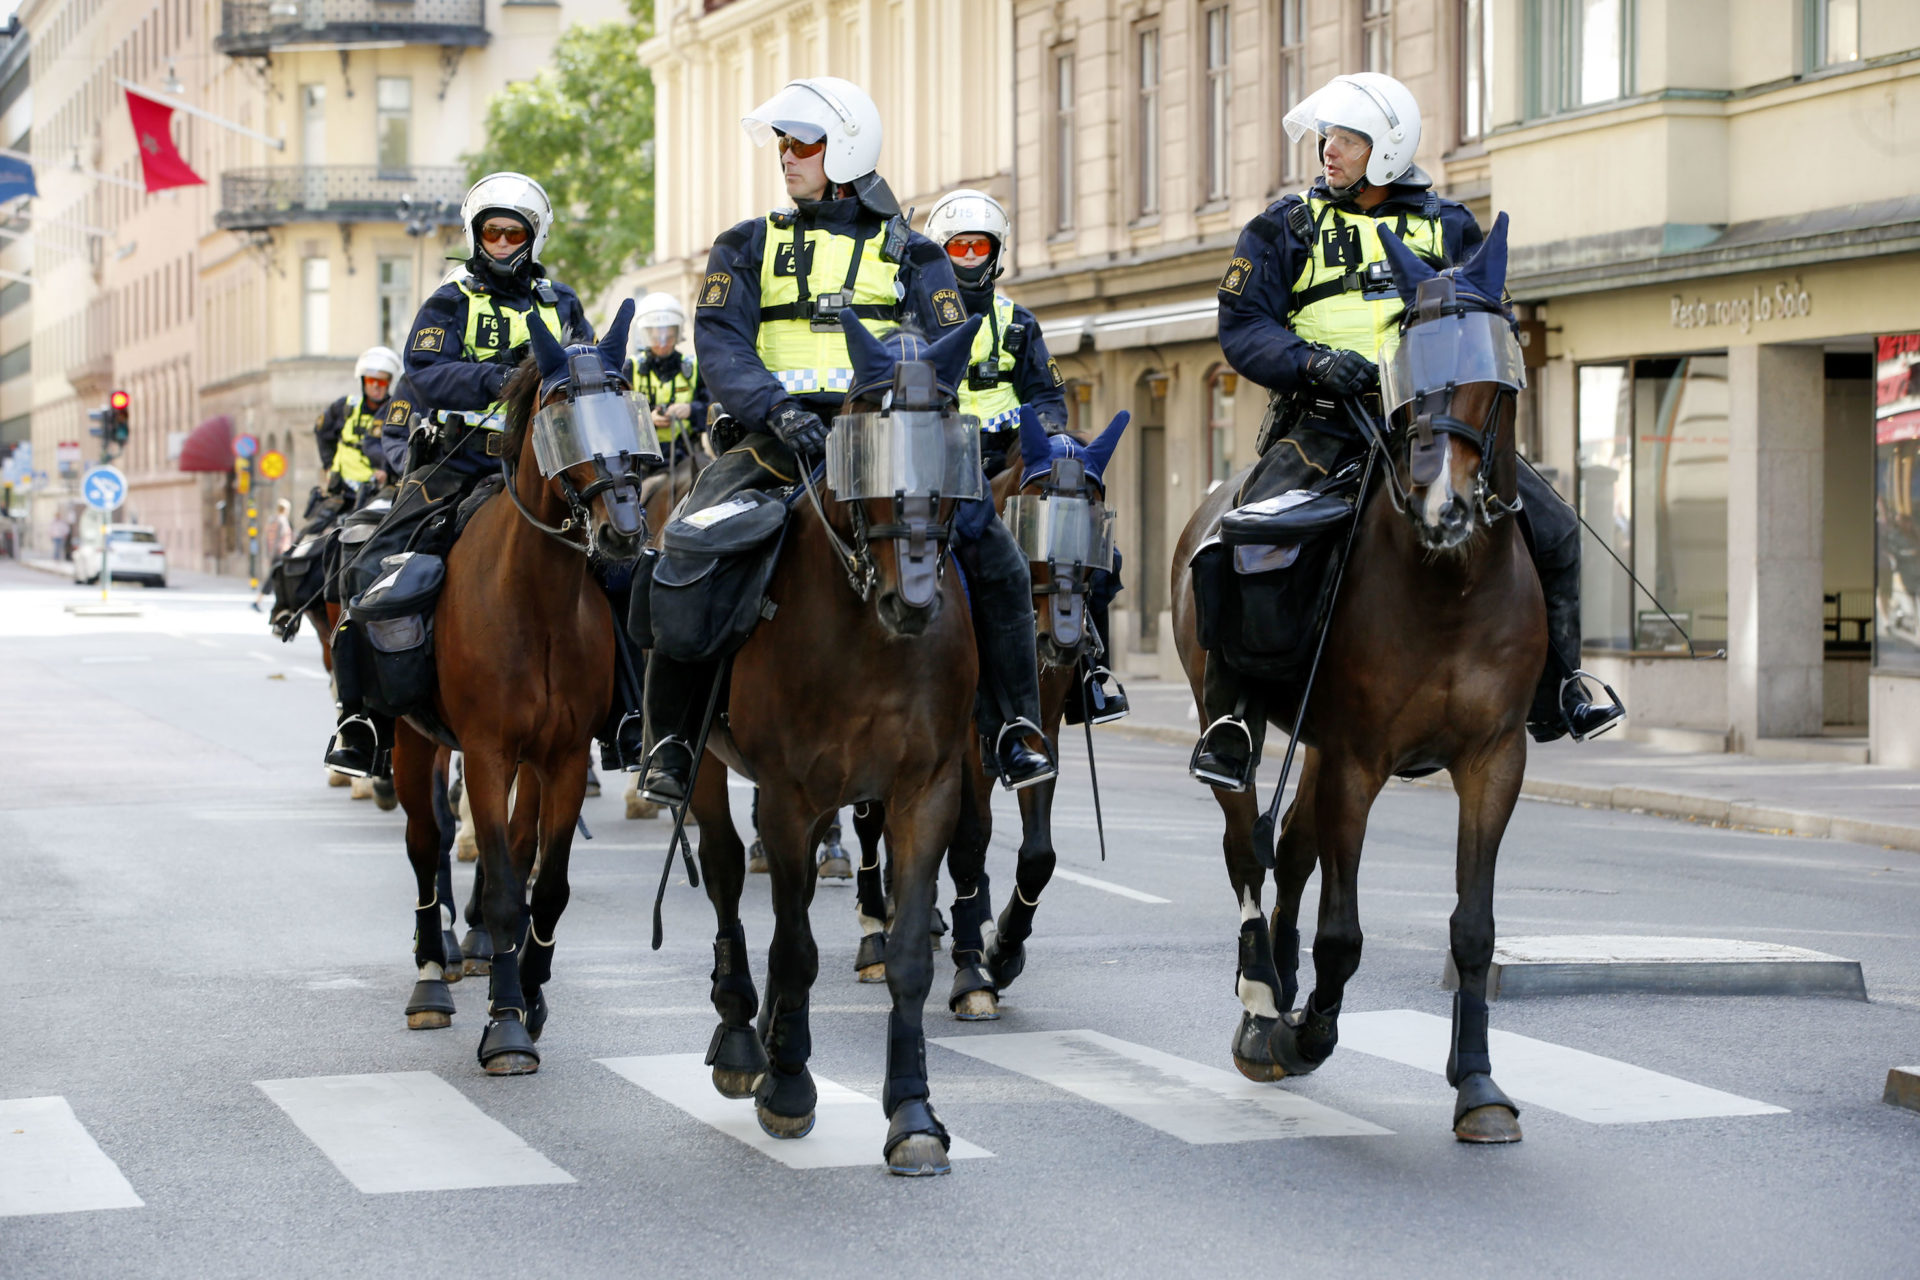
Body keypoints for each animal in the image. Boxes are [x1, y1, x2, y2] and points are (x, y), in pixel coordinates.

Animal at [385, 301, 648, 1074]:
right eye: (563, 413)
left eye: (627, 406)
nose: (624, 533)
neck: (537, 601)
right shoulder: (487, 749)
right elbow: (505, 889)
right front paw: (504, 1024)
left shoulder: (560, 757)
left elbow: (547, 886)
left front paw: (529, 996)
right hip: (415, 741)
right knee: (426, 843)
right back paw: (432, 977)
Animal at [683, 314, 983, 1174]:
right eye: (862, 446)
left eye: (953, 439)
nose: (912, 599)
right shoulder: (787, 800)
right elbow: (796, 948)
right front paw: (788, 1085)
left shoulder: (927, 793)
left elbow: (908, 955)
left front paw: (912, 1112)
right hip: (710, 770)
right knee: (726, 875)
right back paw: (744, 1039)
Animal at [1159, 214, 1536, 1143]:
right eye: (1407, 353)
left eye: (1493, 373)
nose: (1442, 504)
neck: (1450, 587)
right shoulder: (1361, 761)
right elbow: (1343, 934)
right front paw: (1308, 1032)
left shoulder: (1494, 762)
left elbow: (1473, 929)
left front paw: (1478, 1085)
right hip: (1243, 724)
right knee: (1248, 849)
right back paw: (1264, 998)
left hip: (1322, 748)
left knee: (1291, 847)